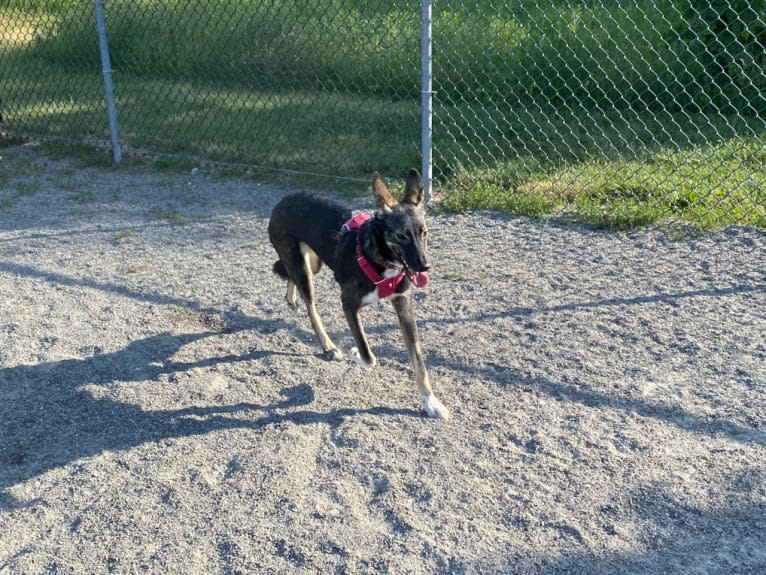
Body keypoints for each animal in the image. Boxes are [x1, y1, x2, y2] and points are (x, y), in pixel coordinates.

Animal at [268, 169, 450, 420]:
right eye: (401, 236)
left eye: (423, 233)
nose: (425, 266)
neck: (380, 259)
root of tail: (282, 201)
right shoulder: (349, 304)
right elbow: (368, 355)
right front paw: (354, 351)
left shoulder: (404, 306)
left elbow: (419, 361)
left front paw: (431, 402)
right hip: (302, 268)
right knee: (311, 307)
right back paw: (329, 346)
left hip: (312, 264)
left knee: (291, 278)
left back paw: (291, 298)